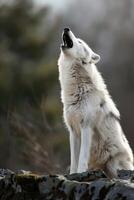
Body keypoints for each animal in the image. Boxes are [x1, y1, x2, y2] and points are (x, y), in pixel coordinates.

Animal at [57, 27, 134, 177]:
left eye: (80, 42)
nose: (66, 28)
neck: (78, 90)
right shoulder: (73, 131)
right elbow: (74, 160)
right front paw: (72, 174)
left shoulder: (86, 127)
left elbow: (82, 158)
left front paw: (80, 173)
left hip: (113, 163)